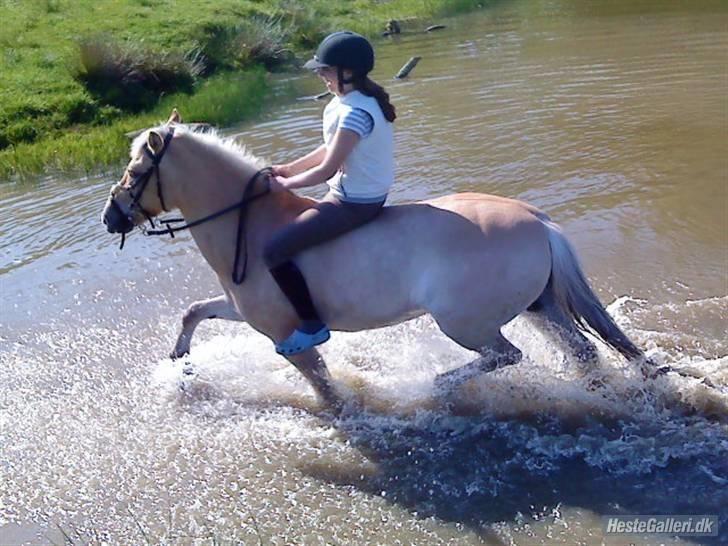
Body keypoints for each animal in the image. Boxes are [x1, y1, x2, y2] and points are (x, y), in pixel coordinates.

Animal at [102, 110, 656, 406]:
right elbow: (194, 311)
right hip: (539, 306)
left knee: (505, 355)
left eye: (136, 171)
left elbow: (325, 389)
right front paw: (179, 364)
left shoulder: (286, 335)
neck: (249, 224)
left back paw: (438, 385)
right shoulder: (248, 312)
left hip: (465, 322)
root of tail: (538, 221)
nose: (111, 217)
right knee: (581, 354)